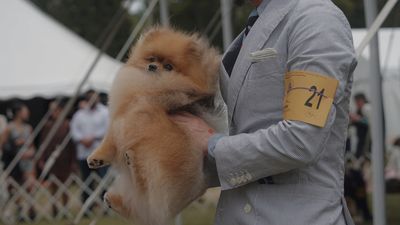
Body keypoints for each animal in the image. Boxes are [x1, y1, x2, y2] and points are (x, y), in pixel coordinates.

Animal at [86, 26, 225, 225]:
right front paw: (96, 158)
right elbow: (109, 142)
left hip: (159, 168)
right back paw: (114, 199)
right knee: (139, 205)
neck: (147, 88)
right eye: (151, 59)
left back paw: (132, 162)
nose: (152, 67)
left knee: (146, 189)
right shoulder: (121, 119)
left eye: (168, 67)